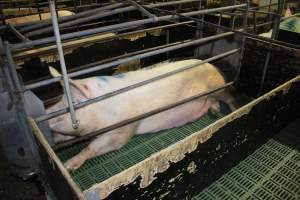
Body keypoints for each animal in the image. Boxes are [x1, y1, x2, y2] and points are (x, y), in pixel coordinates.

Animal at [47, 59, 238, 170]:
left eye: (65, 111)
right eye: (61, 99)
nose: (47, 114)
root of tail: (213, 66)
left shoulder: (124, 129)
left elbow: (96, 146)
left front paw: (68, 165)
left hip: (218, 88)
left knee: (228, 96)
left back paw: (233, 110)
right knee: (212, 102)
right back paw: (216, 112)